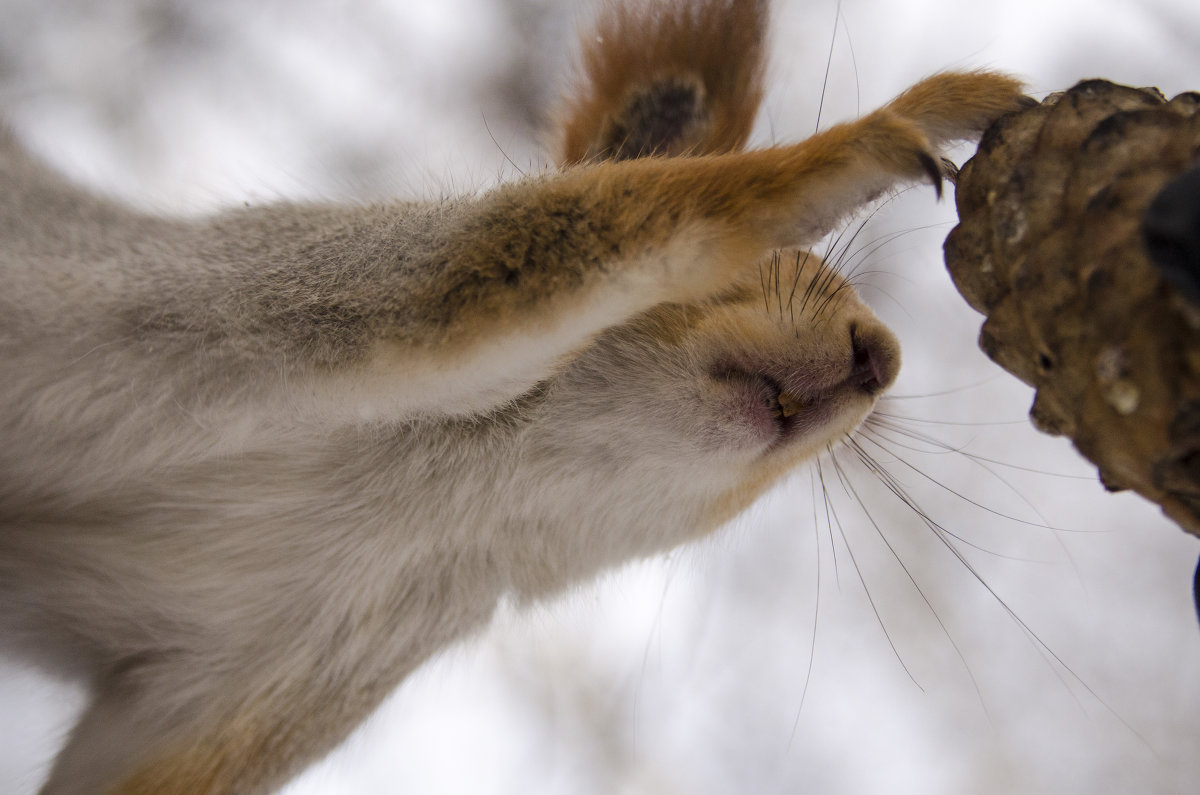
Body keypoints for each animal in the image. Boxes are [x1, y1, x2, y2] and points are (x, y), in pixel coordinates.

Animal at [0, 0, 1032, 792]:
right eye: (784, 267)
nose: (878, 357)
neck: (472, 477)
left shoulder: (269, 683)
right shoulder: (285, 293)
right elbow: (540, 241)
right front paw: (899, 125)